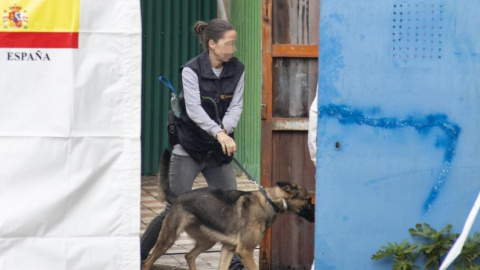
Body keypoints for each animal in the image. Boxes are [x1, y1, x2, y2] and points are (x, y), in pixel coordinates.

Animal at [142, 150, 316, 270]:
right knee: (147, 262)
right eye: (308, 200)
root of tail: (177, 197)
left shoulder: (228, 249)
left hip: (208, 241)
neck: (270, 201)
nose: (317, 216)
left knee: (189, 255)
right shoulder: (245, 251)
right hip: (168, 239)